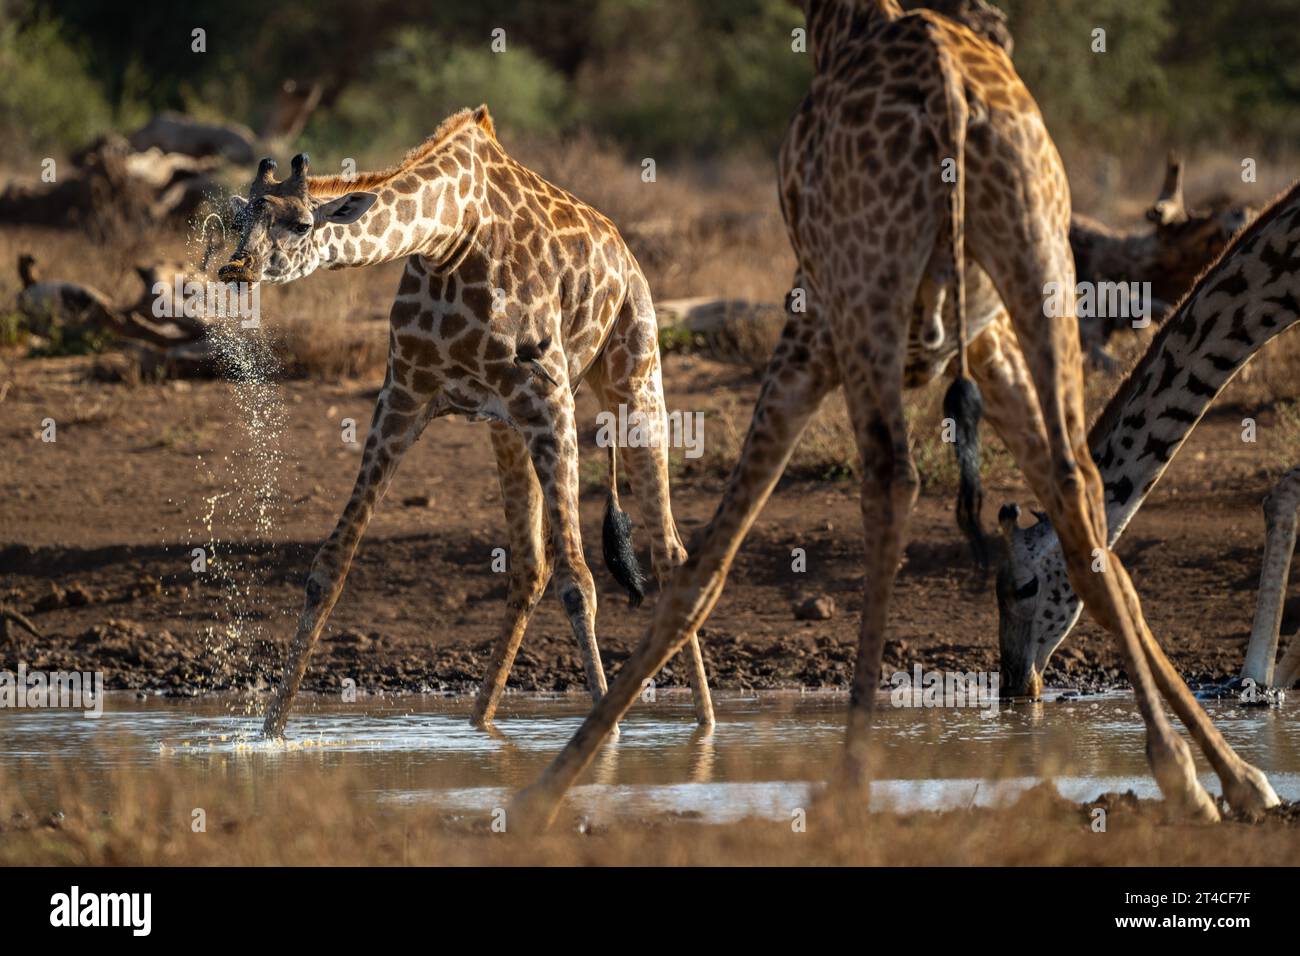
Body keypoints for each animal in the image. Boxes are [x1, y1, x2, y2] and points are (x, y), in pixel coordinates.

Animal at [215, 110, 722, 738]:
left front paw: (604, 737)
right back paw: (480, 724)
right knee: (529, 567)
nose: (236, 267)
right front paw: (270, 733)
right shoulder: (404, 395)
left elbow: (578, 581)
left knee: (669, 555)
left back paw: (705, 725)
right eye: (239, 218)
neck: (449, 238)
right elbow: (329, 566)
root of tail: (627, 255)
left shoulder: (549, 395)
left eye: (303, 222)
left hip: (635, 377)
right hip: (507, 425)